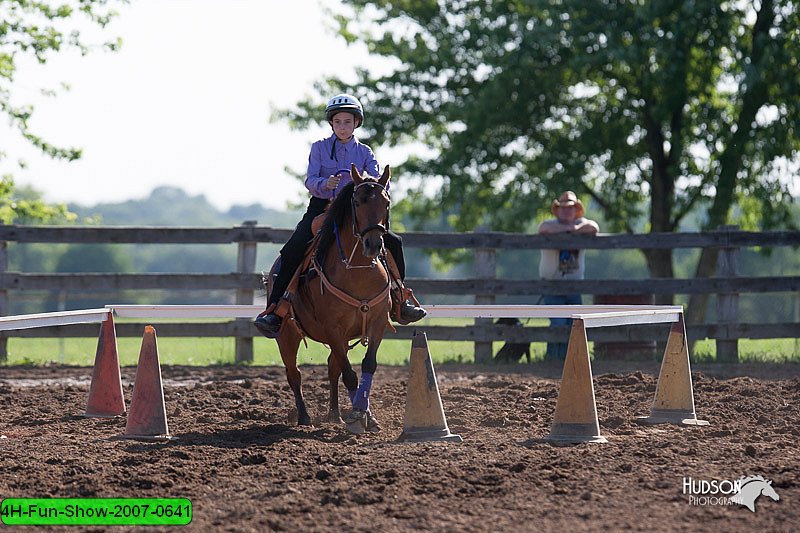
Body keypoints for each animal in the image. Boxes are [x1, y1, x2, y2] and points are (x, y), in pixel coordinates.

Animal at [270, 165, 392, 432]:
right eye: (357, 202)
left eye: (387, 202)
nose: (373, 244)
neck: (358, 270)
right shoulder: (332, 328)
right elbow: (350, 374)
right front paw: (357, 418)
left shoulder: (377, 323)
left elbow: (367, 366)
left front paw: (367, 416)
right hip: (287, 335)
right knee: (294, 373)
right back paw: (304, 417)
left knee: (332, 368)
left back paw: (335, 414)